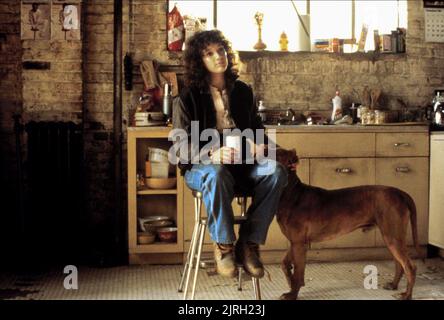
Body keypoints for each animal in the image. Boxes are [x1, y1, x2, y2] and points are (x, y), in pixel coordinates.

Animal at [276, 148, 418, 300]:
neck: (292, 194)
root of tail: (400, 193)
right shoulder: (295, 242)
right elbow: (285, 264)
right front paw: (291, 282)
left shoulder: (299, 244)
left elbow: (298, 272)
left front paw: (292, 293)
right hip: (392, 237)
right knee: (399, 264)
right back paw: (393, 285)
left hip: (392, 236)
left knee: (409, 266)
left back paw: (407, 295)